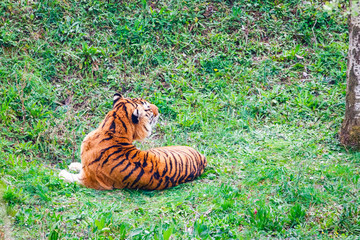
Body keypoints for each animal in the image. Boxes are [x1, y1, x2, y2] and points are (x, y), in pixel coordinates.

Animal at [58, 93, 207, 189]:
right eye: (148, 108)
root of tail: (202, 157)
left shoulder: (88, 179)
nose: (158, 110)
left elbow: (70, 178)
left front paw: (62, 173)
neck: (113, 129)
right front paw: (74, 165)